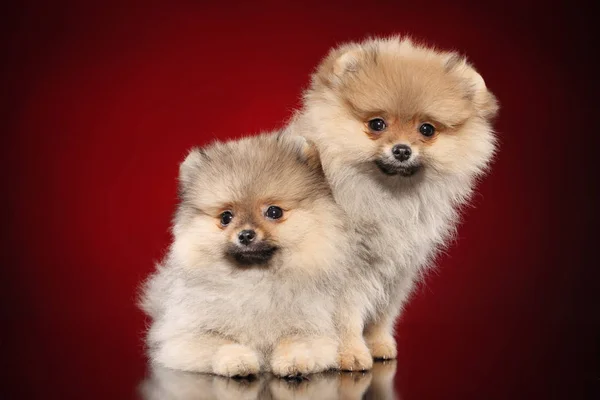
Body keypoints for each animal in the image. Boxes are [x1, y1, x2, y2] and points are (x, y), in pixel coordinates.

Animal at [138, 133, 358, 376]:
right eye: (226, 217)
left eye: (274, 211)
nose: (245, 235)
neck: (253, 278)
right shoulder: (186, 336)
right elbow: (222, 343)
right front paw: (238, 361)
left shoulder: (313, 328)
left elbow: (297, 341)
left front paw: (294, 361)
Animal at [284, 36, 500, 368]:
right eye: (377, 124)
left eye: (427, 129)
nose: (401, 150)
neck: (386, 197)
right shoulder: (346, 272)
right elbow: (345, 316)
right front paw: (351, 354)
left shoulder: (398, 270)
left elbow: (383, 313)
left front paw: (379, 344)